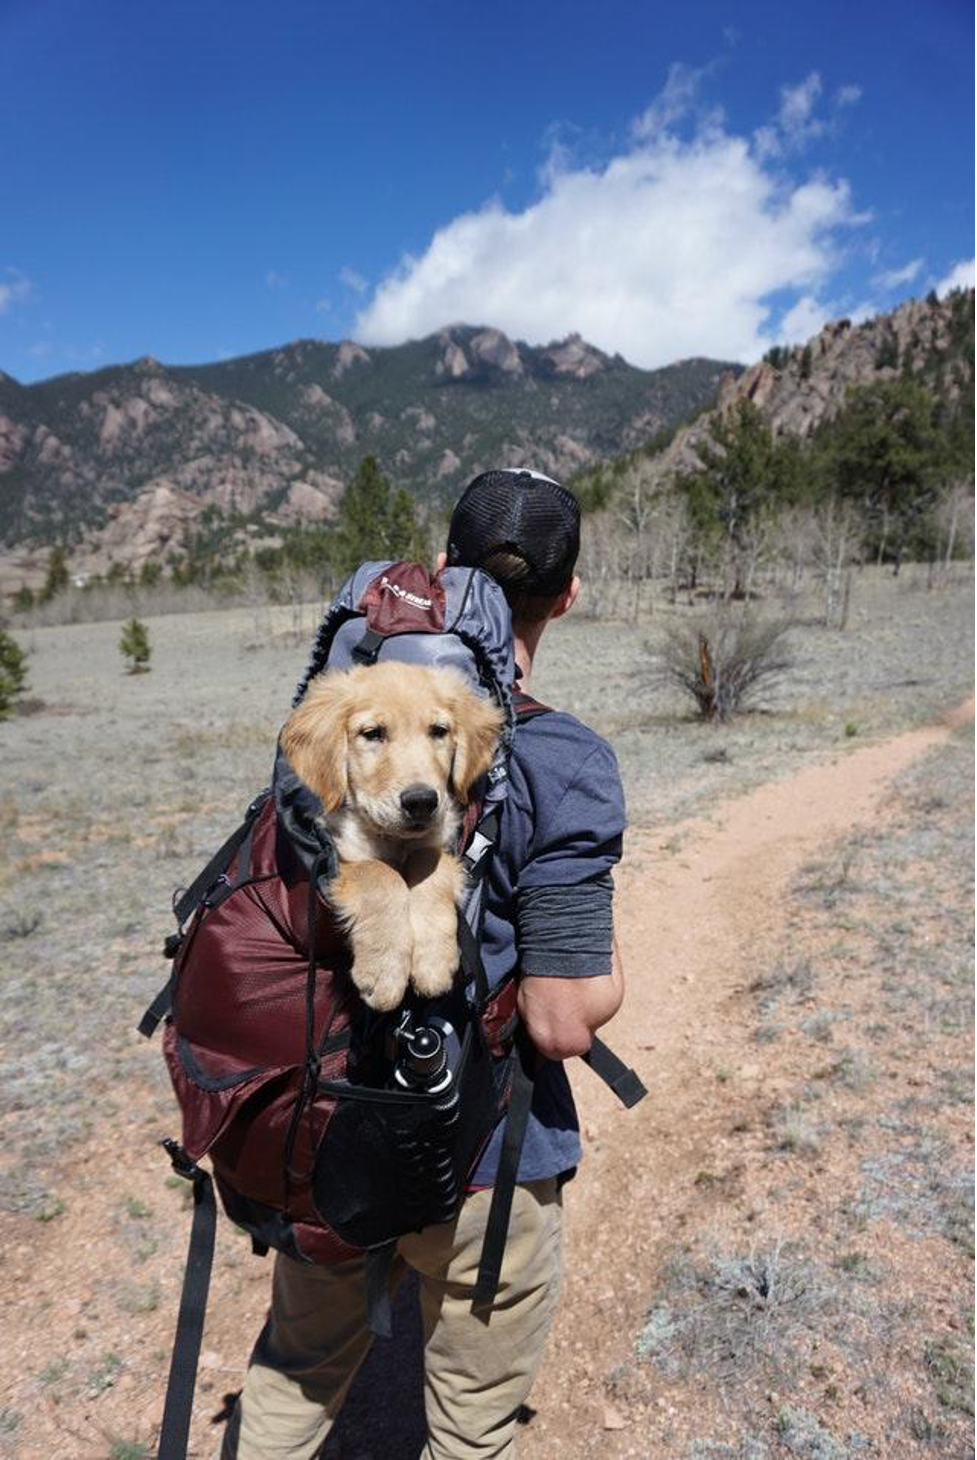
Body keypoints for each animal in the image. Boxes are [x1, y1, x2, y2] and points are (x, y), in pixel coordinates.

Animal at [277, 659, 499, 1010]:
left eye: (438, 731)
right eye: (373, 734)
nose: (421, 802)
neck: (394, 840)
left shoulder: (440, 841)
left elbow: (429, 864)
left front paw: (433, 961)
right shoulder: (339, 855)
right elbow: (379, 873)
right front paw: (384, 973)